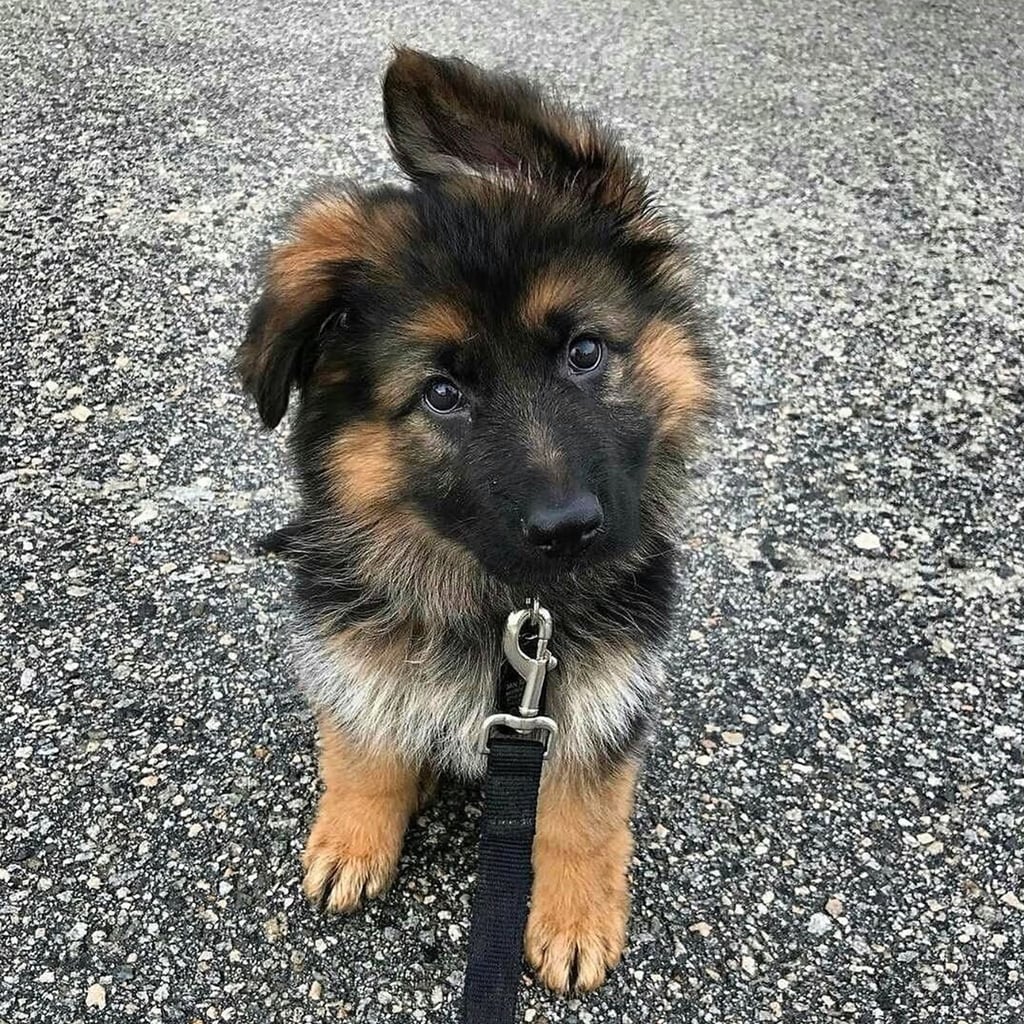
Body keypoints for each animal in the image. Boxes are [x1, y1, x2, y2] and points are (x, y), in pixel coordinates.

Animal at [235, 46, 716, 991]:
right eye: (442, 394)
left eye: (583, 351)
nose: (569, 529)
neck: (497, 602)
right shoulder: (352, 648)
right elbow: (361, 748)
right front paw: (354, 837)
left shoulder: (598, 693)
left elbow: (584, 810)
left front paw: (574, 916)